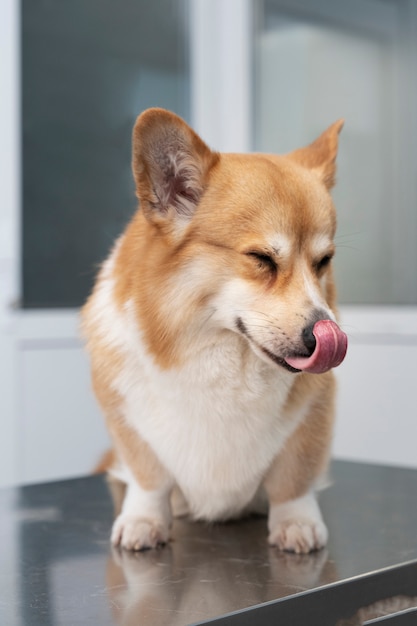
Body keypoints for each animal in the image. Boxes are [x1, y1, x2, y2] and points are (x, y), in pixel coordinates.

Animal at [80, 106, 344, 552]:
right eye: (261, 258)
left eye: (323, 261)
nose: (322, 336)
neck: (222, 354)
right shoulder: (127, 420)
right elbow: (149, 479)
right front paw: (143, 521)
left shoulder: (313, 414)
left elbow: (293, 479)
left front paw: (297, 523)